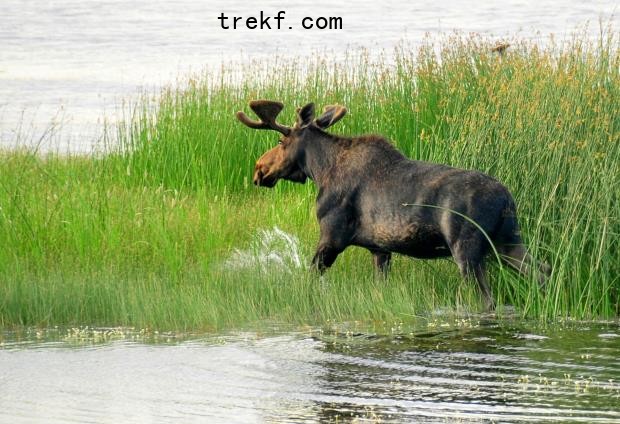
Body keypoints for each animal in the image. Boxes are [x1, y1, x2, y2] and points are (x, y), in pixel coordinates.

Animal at [235, 101, 548, 310]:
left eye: (281, 140)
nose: (259, 169)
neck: (321, 170)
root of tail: (507, 199)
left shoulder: (331, 238)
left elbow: (309, 278)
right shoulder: (380, 249)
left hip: (467, 249)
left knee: (488, 299)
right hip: (508, 241)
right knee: (542, 271)